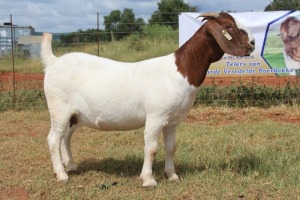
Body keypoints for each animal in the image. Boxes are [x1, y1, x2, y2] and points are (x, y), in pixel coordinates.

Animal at [41, 12, 254, 188]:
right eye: (228, 26)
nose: (252, 42)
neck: (179, 71)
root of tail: (53, 62)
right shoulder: (155, 117)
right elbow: (151, 149)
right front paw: (149, 179)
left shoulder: (172, 121)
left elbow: (171, 147)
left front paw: (172, 176)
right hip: (59, 108)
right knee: (53, 139)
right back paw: (62, 175)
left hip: (74, 115)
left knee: (65, 138)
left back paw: (71, 166)